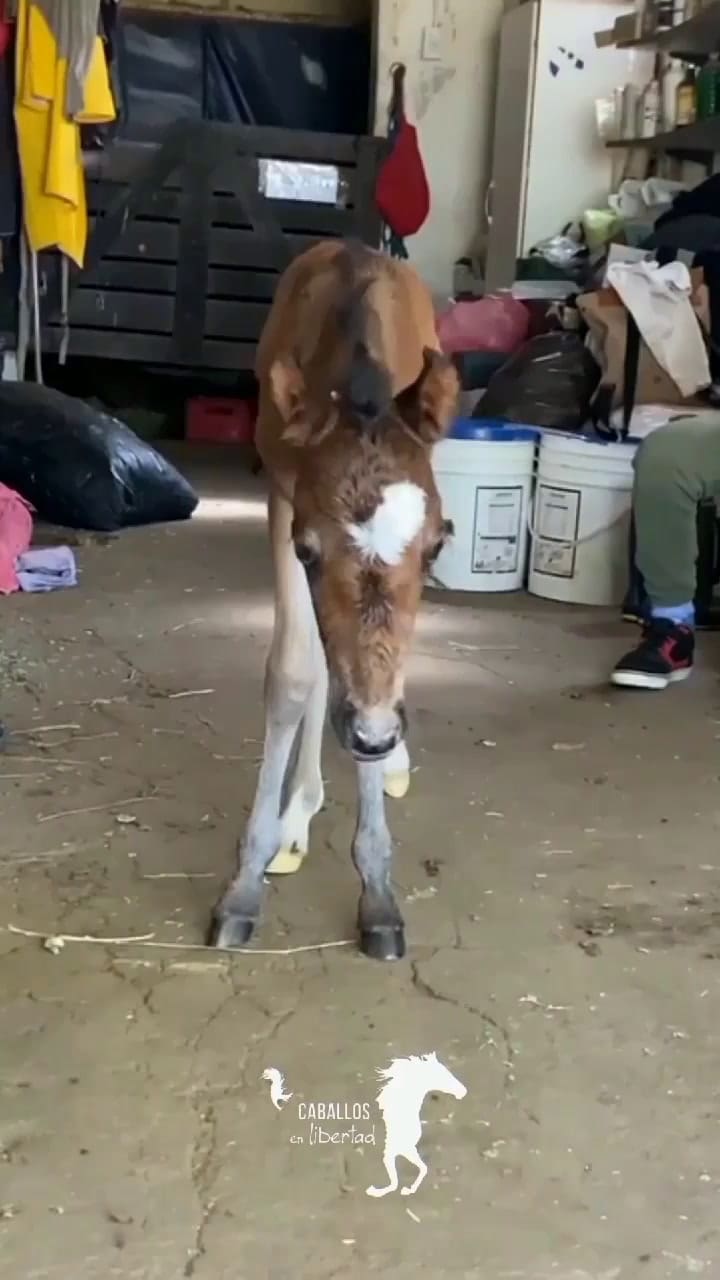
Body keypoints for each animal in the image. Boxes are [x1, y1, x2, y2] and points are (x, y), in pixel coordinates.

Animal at [210, 240, 459, 960]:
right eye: (310, 549)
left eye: (438, 545)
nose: (373, 736)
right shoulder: (284, 500)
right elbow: (295, 672)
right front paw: (245, 886)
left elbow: (379, 664)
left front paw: (377, 894)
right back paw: (297, 814)